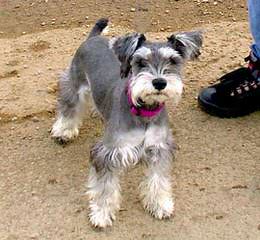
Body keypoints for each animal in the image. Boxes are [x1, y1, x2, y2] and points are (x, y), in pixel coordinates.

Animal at [51, 18, 203, 227]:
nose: (159, 82)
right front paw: (102, 213)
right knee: (69, 107)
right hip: (74, 84)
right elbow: (105, 188)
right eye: (140, 62)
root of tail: (93, 38)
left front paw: (159, 205)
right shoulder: (107, 153)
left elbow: (158, 179)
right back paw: (64, 131)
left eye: (173, 60)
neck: (144, 111)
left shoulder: (159, 148)